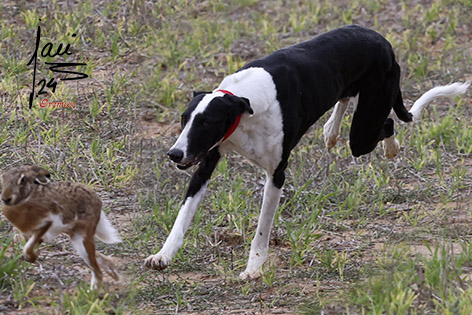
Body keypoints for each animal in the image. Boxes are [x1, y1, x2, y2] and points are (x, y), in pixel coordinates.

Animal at [144, 25, 468, 280]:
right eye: (184, 119)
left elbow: (262, 228)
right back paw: (331, 129)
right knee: (347, 98)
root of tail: (382, 39)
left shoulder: (276, 174)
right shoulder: (206, 160)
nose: (174, 154)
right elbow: (183, 215)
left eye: (206, 123)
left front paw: (253, 268)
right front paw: (164, 254)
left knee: (386, 123)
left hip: (364, 132)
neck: (243, 104)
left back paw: (390, 146)